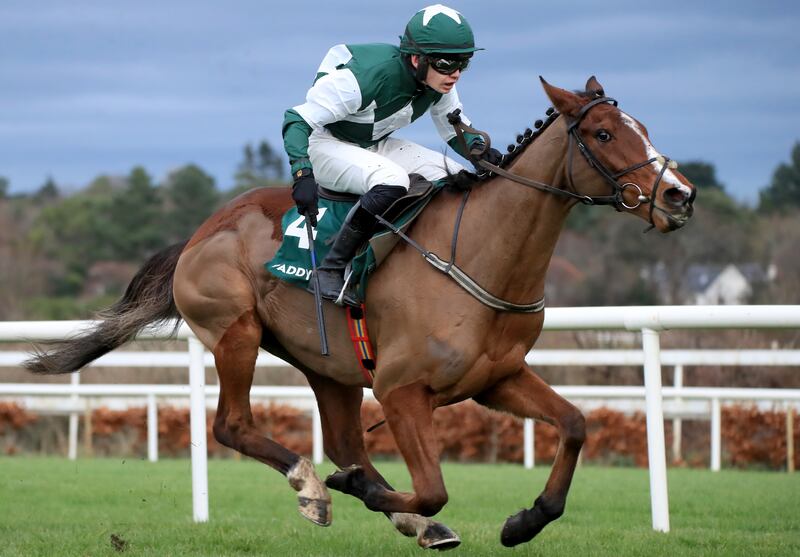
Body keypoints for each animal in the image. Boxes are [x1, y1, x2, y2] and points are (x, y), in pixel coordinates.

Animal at [26, 77, 692, 548]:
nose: (679, 195)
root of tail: (201, 231)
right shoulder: (402, 391)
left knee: (346, 439)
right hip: (235, 333)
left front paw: (524, 521)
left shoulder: (497, 378)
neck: (478, 254)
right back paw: (314, 486)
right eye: (603, 134)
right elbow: (432, 490)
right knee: (233, 427)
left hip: (329, 366)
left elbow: (575, 425)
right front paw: (366, 497)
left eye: (643, 126)